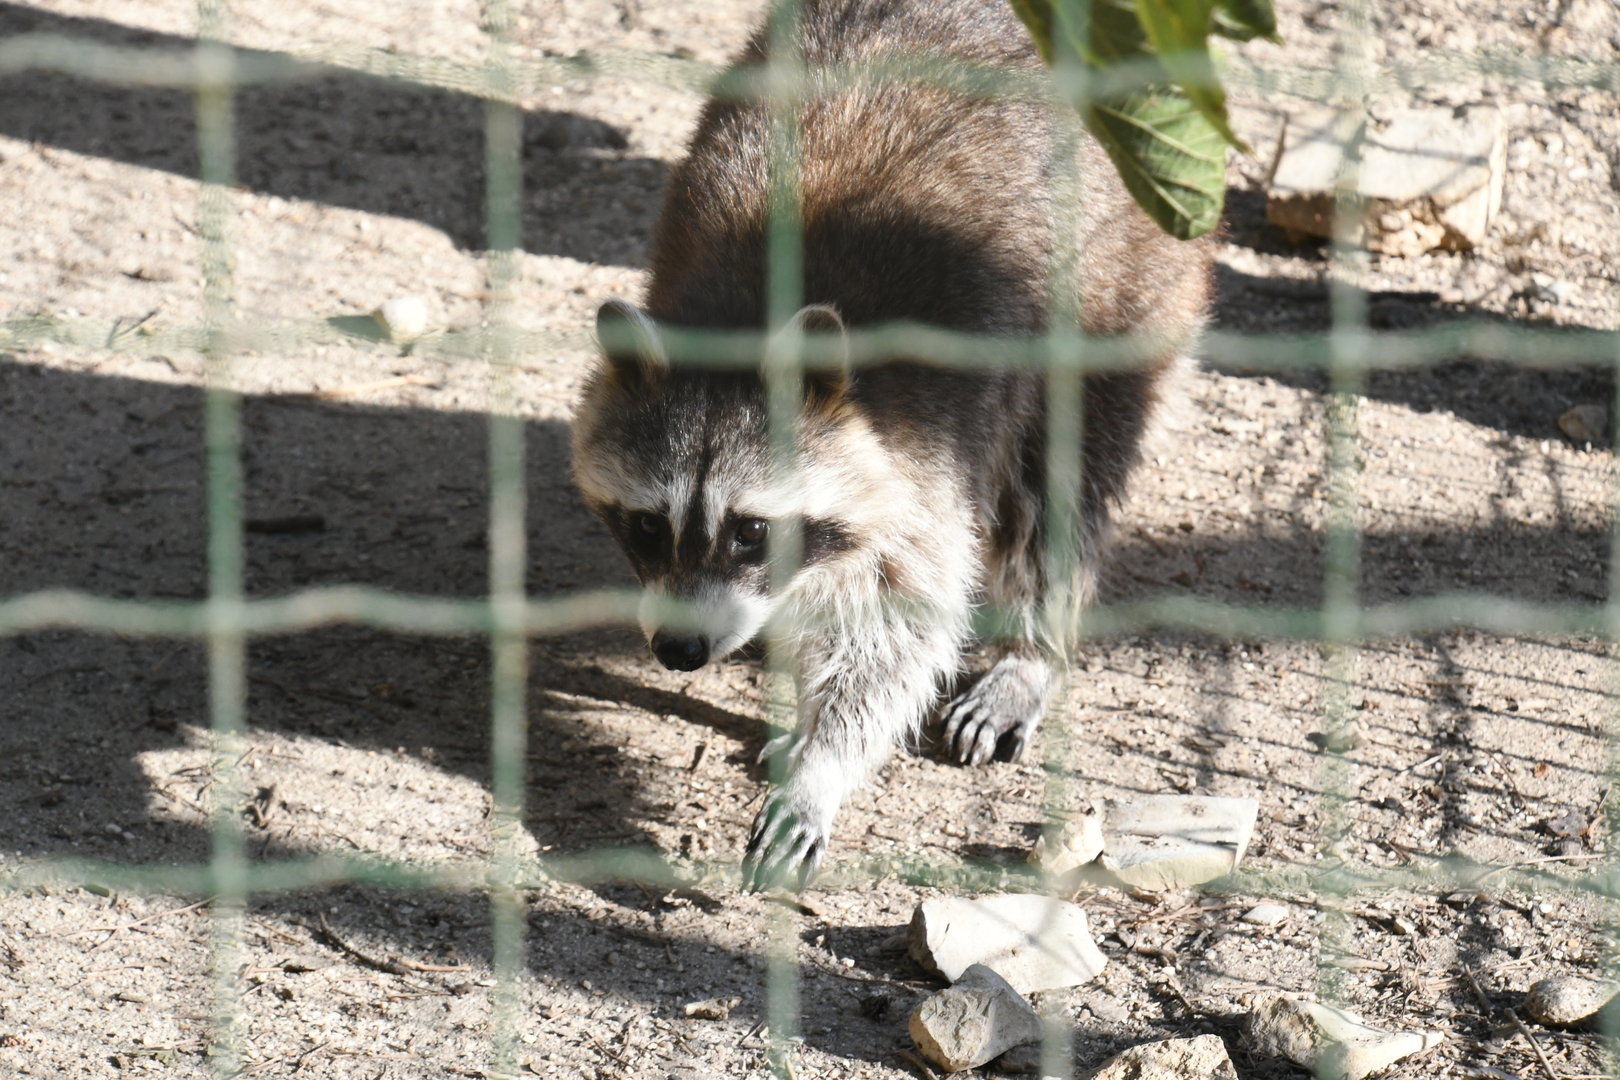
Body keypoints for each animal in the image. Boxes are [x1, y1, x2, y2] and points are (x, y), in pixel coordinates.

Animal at [570, 0, 1211, 889]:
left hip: (1127, 275)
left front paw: (824, 763)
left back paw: (1031, 647)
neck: (743, 327)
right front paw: (800, 706)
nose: (681, 650)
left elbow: (896, 630)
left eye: (751, 531)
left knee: (1059, 486)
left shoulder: (930, 442)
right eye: (644, 526)